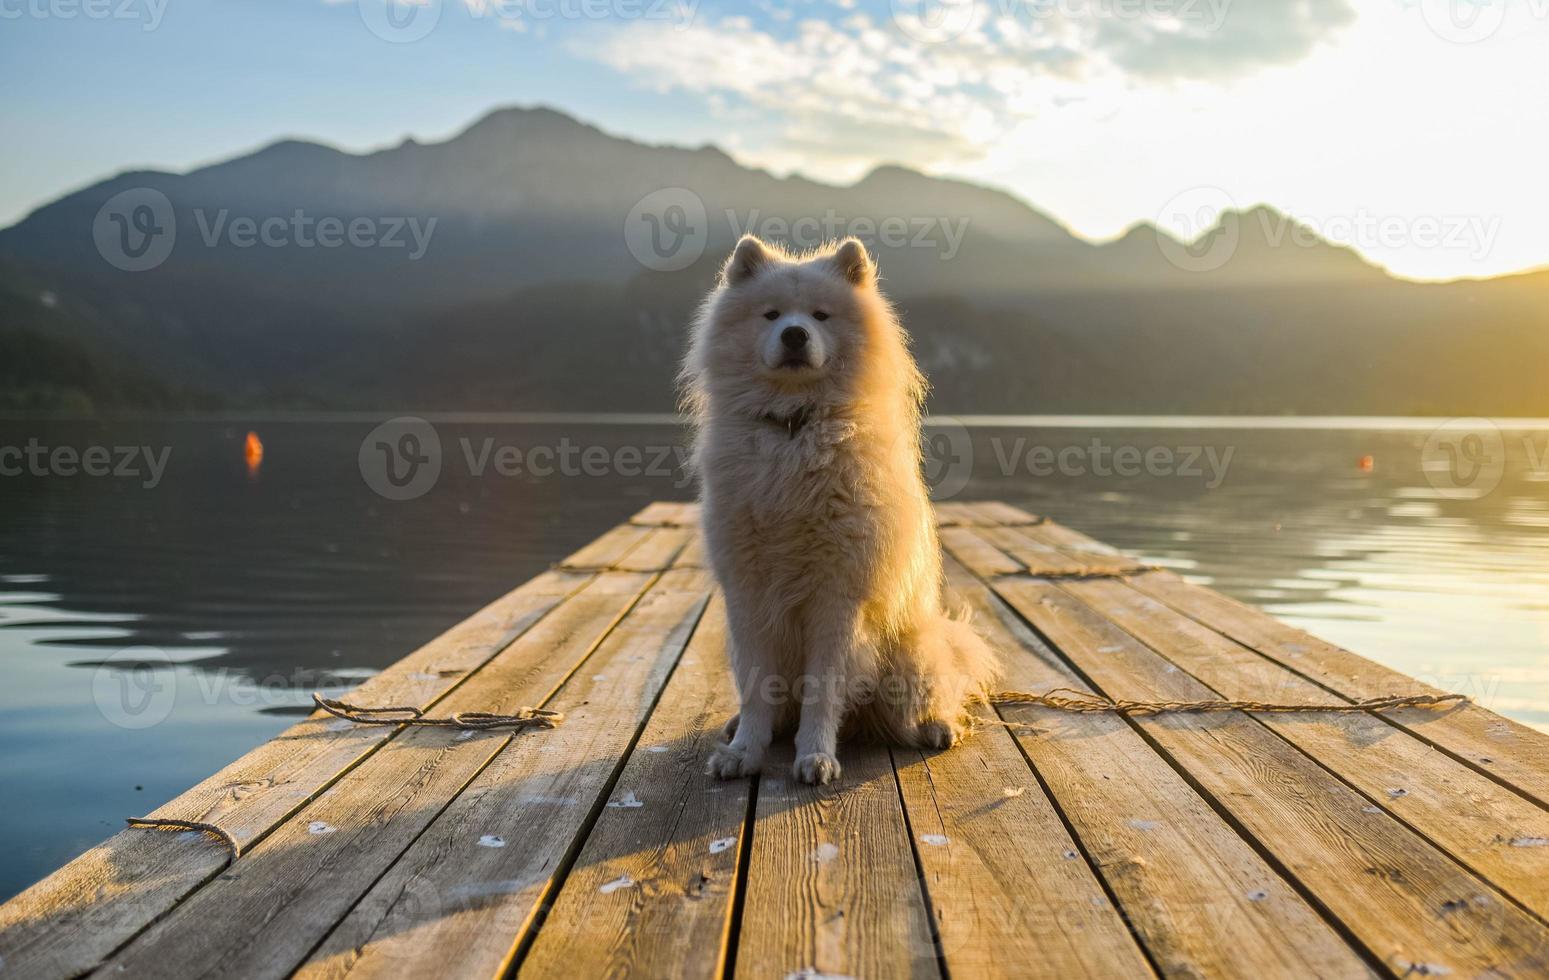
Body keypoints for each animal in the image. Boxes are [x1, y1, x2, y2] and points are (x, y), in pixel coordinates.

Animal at [681, 233, 997, 783]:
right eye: (771, 314)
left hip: (909, 654)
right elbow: (760, 692)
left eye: (820, 315)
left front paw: (815, 756)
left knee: (923, 702)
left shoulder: (838, 597)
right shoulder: (748, 594)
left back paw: (936, 727)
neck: (795, 427)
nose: (794, 335)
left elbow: (823, 690)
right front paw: (744, 751)